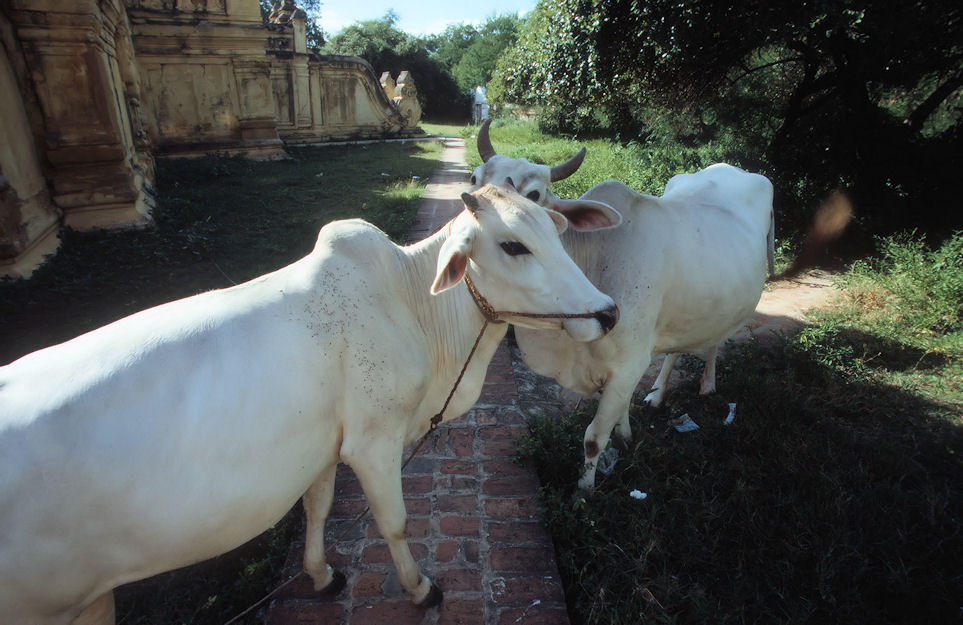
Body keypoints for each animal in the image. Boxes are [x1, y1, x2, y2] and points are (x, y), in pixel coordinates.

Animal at [0, 184, 616, 624]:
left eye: (558, 233)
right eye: (513, 246)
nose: (607, 312)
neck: (411, 302)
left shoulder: (323, 447)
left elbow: (316, 510)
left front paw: (321, 576)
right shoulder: (372, 443)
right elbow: (394, 523)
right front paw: (420, 588)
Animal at [470, 123, 780, 492]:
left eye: (533, 195)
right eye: (474, 179)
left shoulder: (627, 364)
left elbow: (593, 438)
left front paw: (584, 491)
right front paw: (626, 435)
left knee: (715, 340)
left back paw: (707, 383)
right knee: (677, 347)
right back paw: (657, 394)